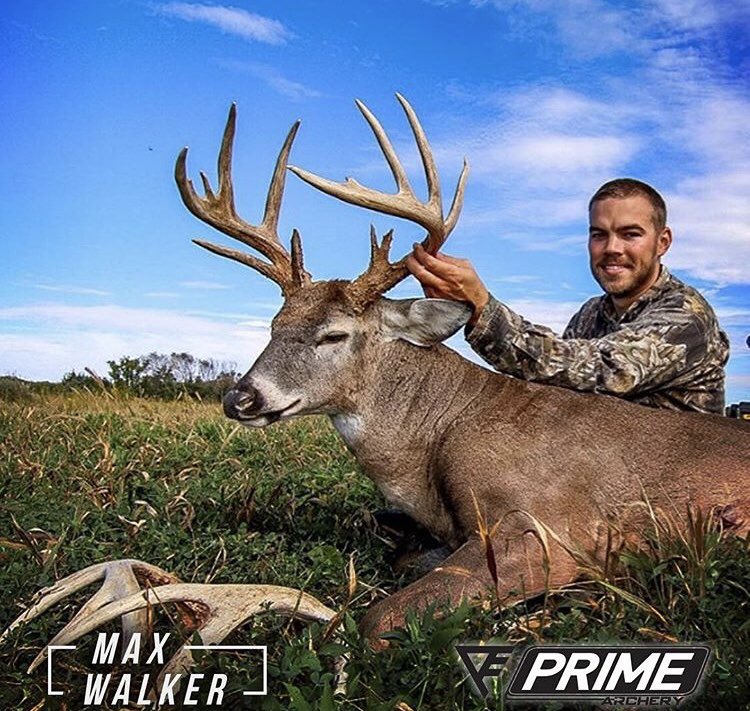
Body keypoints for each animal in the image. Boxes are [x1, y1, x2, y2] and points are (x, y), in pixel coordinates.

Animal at [4, 97, 748, 670]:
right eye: (273, 323)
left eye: (334, 334)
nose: (240, 397)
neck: (441, 437)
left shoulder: (552, 528)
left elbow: (372, 621)